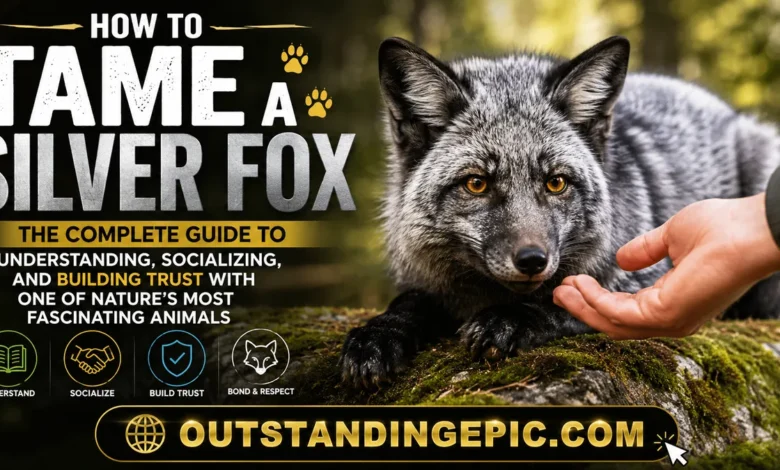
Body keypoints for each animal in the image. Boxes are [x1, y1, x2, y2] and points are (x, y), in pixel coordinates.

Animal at [339, 35, 780, 388]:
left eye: (556, 183)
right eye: (476, 183)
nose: (532, 260)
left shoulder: (638, 280)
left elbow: (558, 302)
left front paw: (511, 319)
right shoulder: (428, 281)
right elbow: (408, 304)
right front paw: (377, 336)